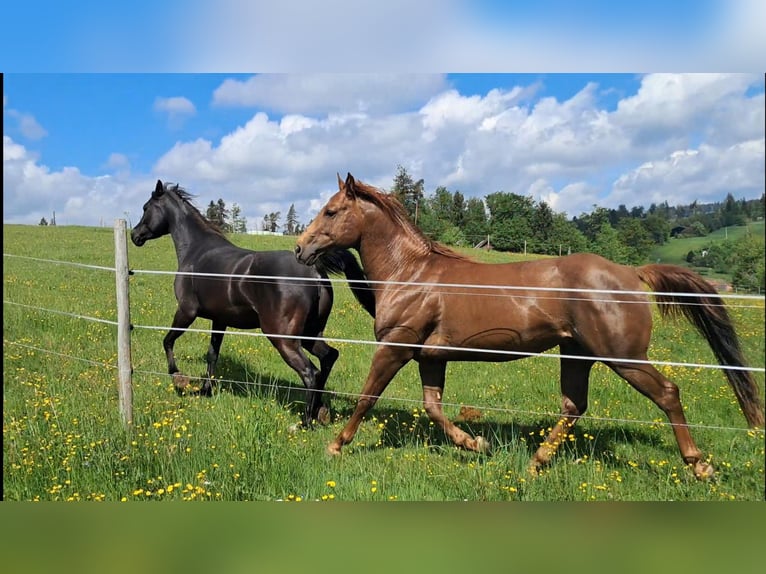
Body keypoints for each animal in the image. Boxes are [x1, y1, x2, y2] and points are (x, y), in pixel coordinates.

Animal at [131, 179, 375, 427]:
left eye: (145, 207)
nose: (134, 235)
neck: (197, 252)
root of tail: (313, 271)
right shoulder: (219, 320)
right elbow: (212, 354)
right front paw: (206, 390)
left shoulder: (186, 311)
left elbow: (168, 341)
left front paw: (179, 378)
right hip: (310, 333)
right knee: (328, 357)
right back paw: (321, 410)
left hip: (283, 338)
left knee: (310, 372)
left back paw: (305, 422)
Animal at [294, 173, 764, 478]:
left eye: (331, 211)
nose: (300, 248)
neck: (410, 274)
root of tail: (632, 273)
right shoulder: (432, 356)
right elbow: (433, 407)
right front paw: (475, 444)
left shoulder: (395, 347)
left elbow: (367, 398)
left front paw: (335, 445)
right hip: (578, 353)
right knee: (574, 406)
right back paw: (537, 461)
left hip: (624, 356)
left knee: (667, 393)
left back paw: (698, 465)